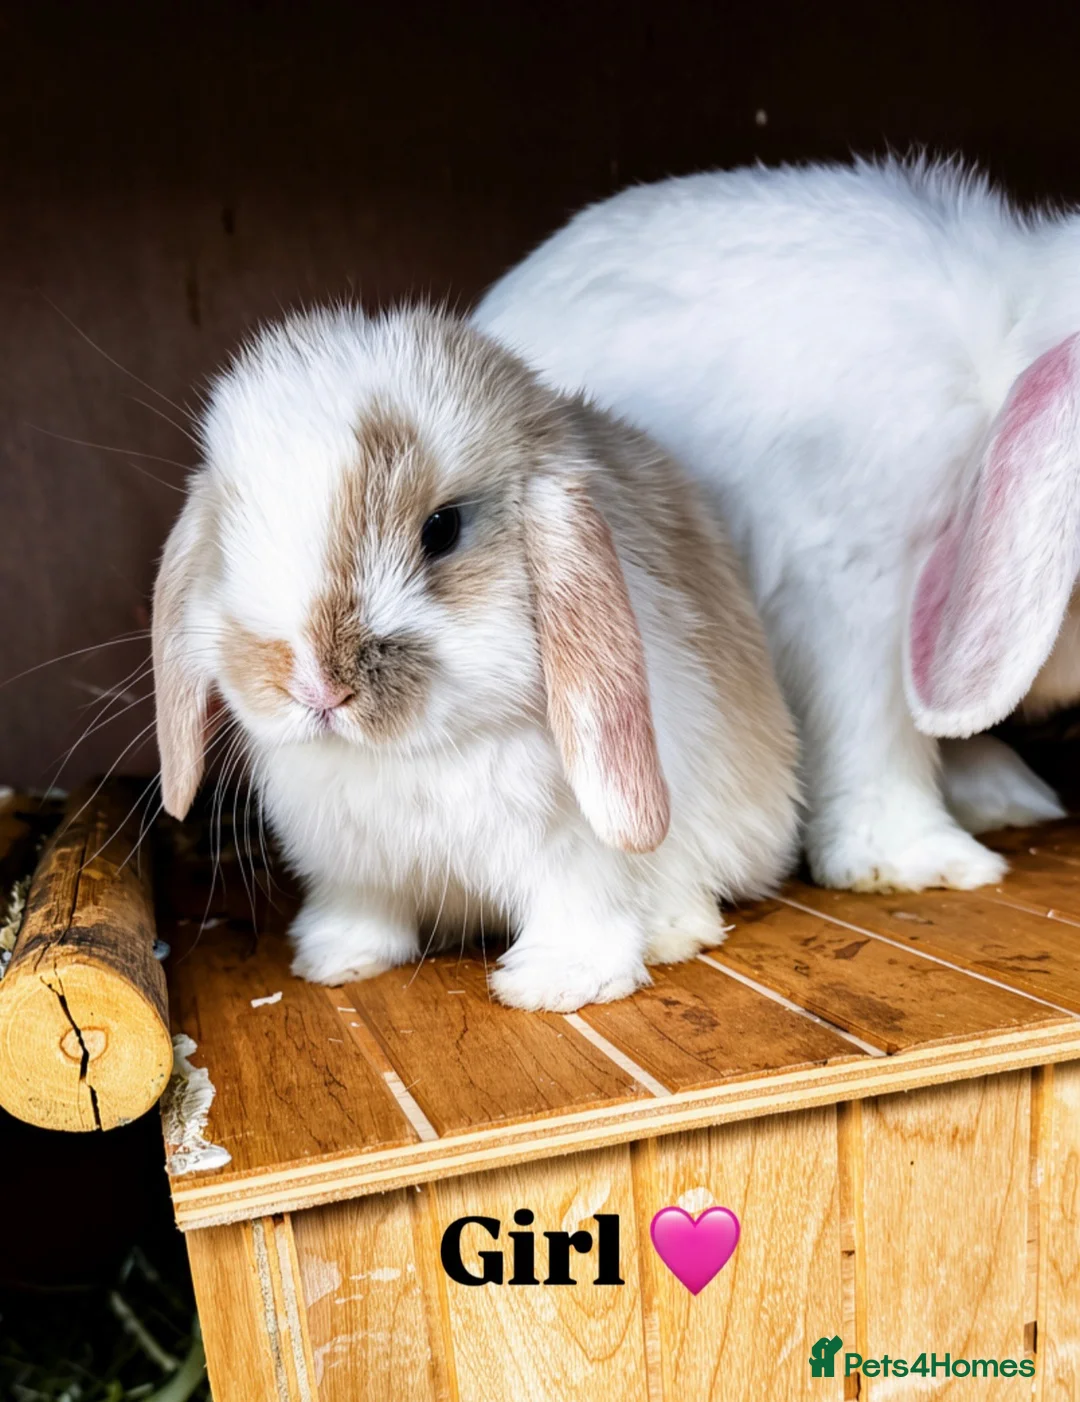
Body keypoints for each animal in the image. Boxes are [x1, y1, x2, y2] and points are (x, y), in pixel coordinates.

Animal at [151, 305, 799, 1011]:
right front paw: (336, 960)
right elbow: (365, 913)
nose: (316, 689)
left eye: (442, 530)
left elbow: (581, 908)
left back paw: (669, 935)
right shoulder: (356, 868)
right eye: (228, 538)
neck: (414, 756)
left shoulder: (576, 854)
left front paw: (556, 984)